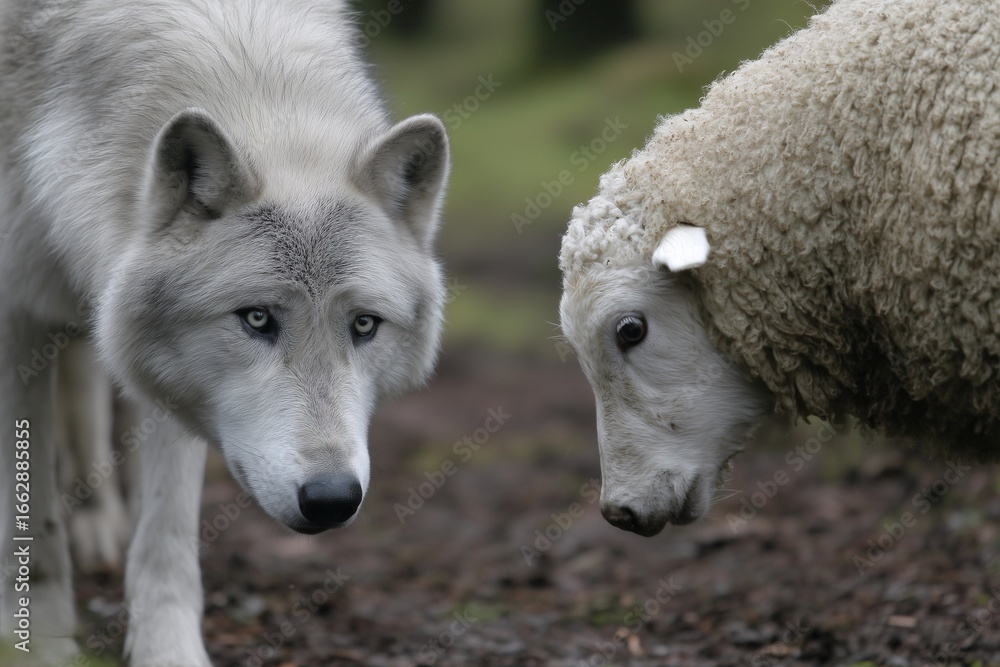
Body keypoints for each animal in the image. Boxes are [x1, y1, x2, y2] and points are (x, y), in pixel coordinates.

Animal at [0, 0, 449, 664]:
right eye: (257, 318)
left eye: (364, 324)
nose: (332, 498)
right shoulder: (16, 311)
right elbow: (27, 513)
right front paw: (37, 640)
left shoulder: (171, 377)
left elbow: (166, 532)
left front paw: (168, 651)